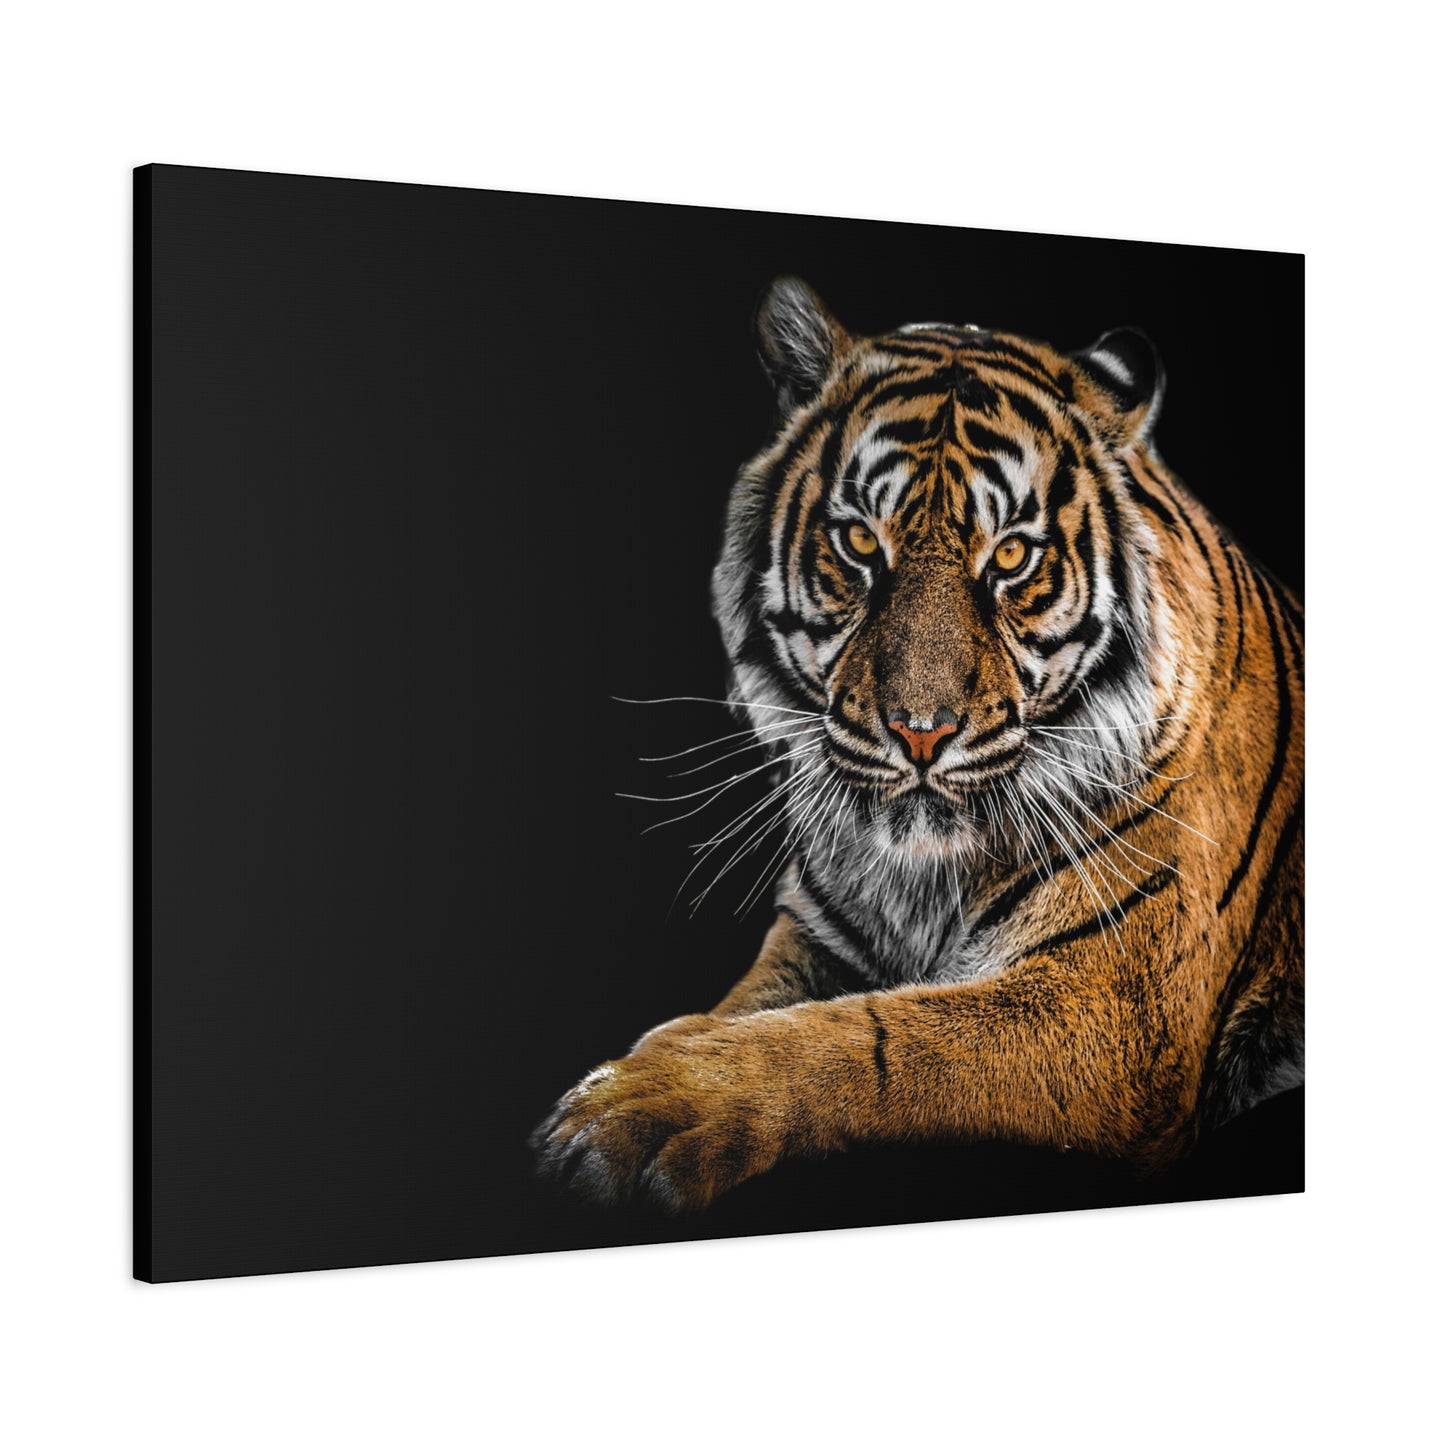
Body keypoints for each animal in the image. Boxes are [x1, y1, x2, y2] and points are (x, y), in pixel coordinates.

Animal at [531, 277, 1304, 1212]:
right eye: (861, 541)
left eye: (1010, 556)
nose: (920, 732)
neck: (921, 879)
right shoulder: (817, 937)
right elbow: (747, 1007)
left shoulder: (1112, 1005)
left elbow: (870, 1037)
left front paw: (641, 1104)